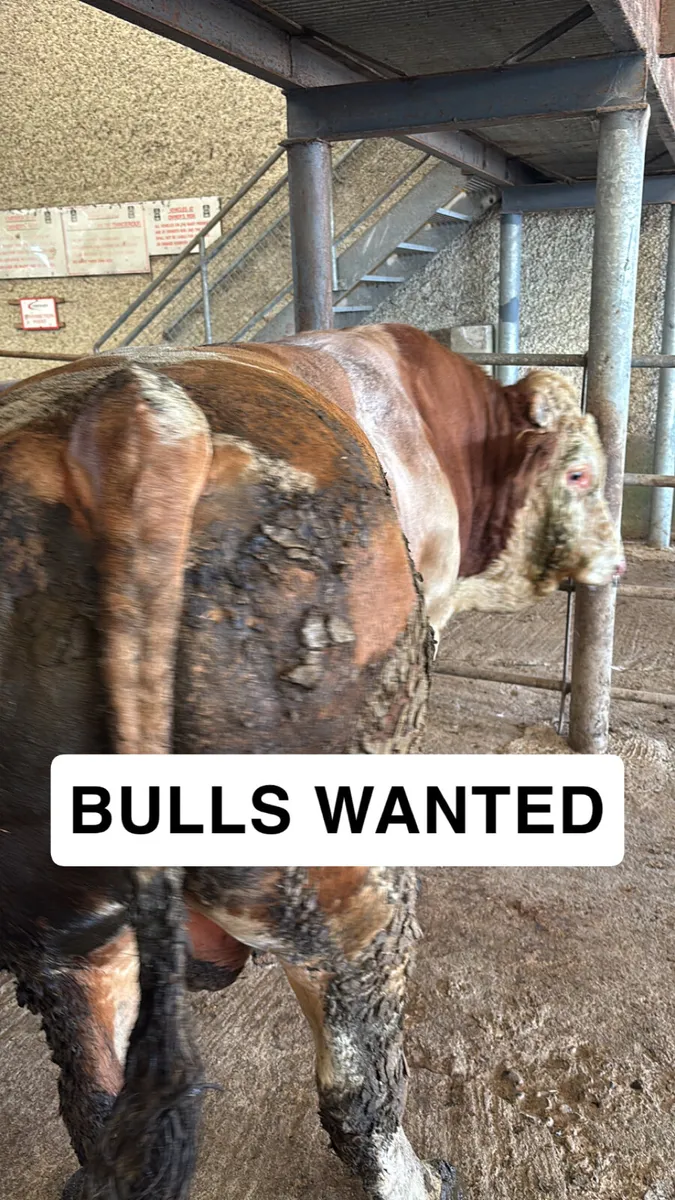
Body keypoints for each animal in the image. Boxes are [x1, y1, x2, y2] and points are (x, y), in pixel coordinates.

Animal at [0, 325, 622, 1200]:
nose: (619, 563)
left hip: (57, 915)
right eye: (578, 474)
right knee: (358, 1083)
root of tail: (132, 419)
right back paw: (419, 1175)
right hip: (339, 872)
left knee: (96, 1097)